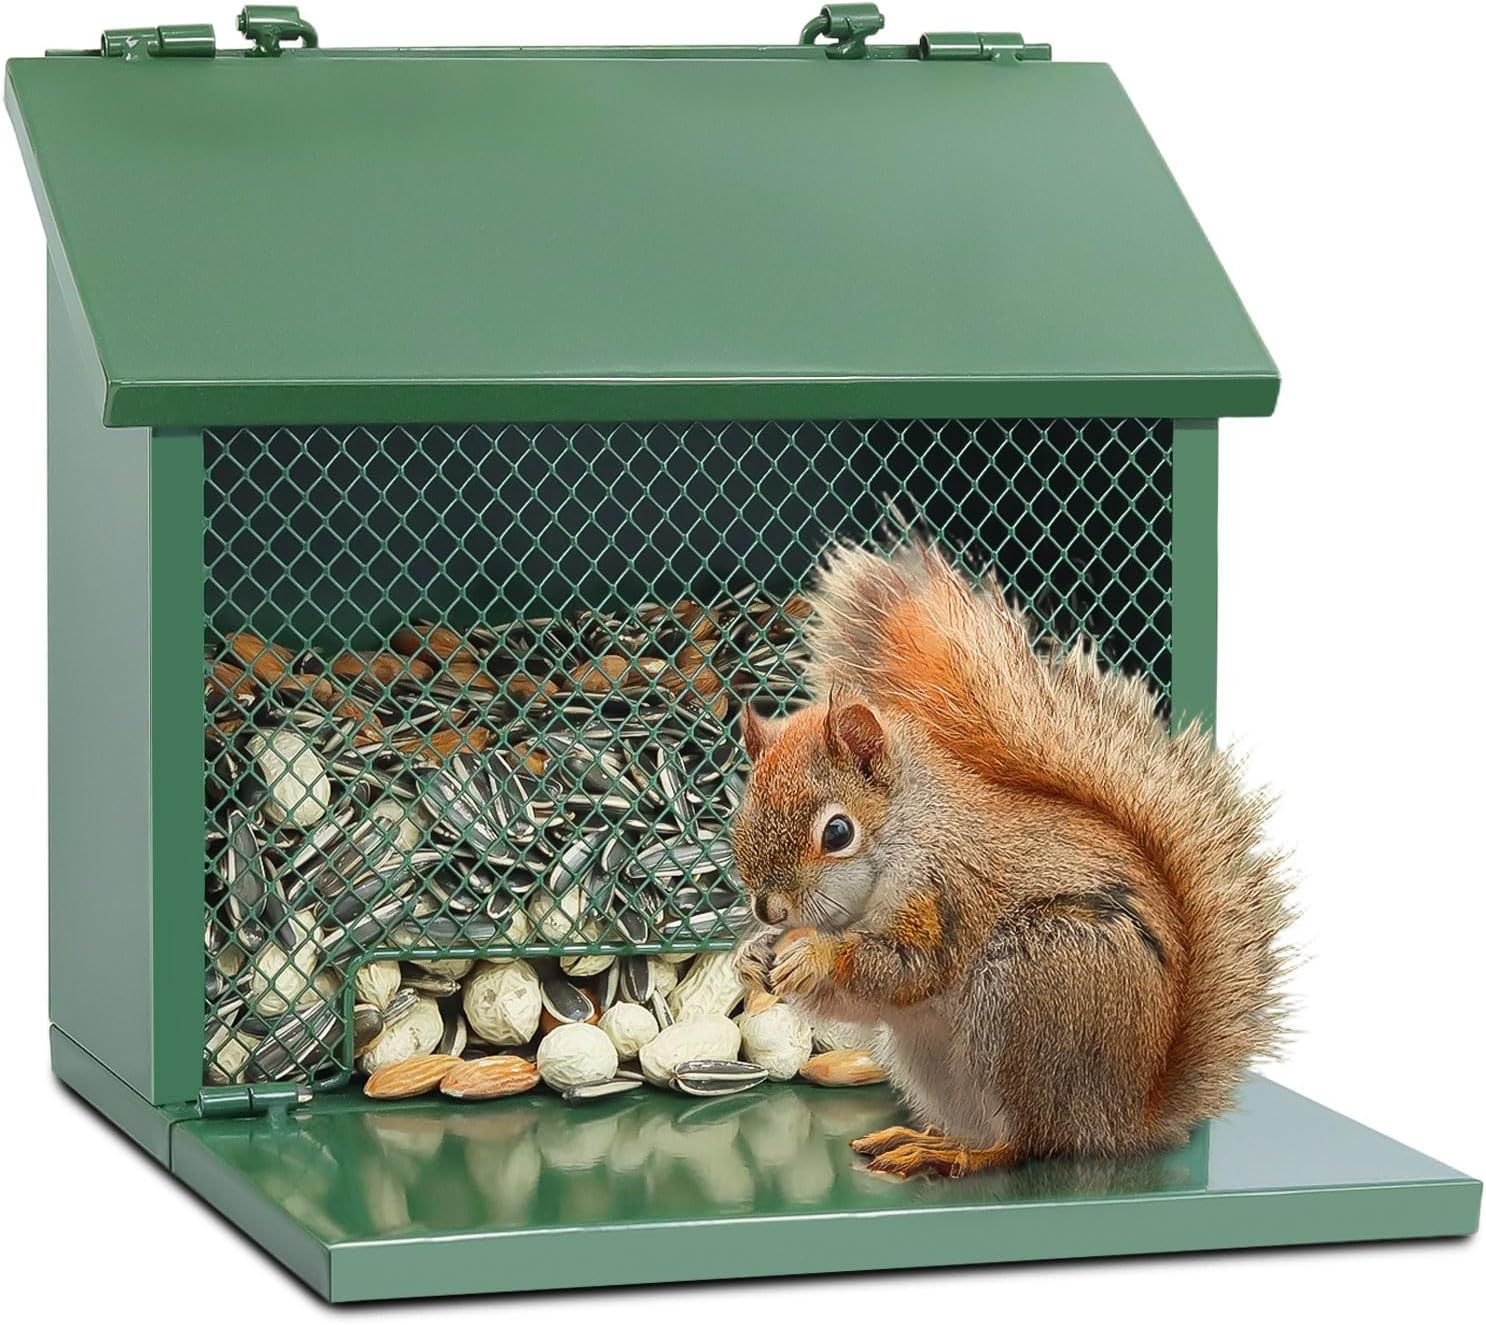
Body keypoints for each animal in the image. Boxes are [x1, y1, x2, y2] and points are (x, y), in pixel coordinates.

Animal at [730, 537, 1292, 1179]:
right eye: (740, 812)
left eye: (838, 831)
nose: (769, 909)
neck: (904, 836)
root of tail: (1126, 1118)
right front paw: (751, 954)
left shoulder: (945, 892)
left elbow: (908, 971)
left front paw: (815, 954)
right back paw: (927, 1137)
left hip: (1031, 987)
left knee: (1028, 1140)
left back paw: (954, 1153)